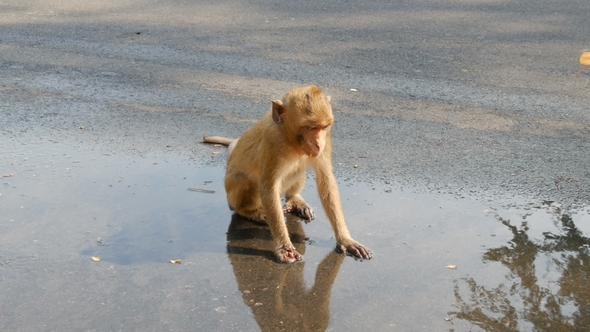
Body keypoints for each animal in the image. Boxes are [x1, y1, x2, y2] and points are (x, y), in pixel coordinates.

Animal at [204, 84, 370, 264]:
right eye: (310, 127)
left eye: (324, 127)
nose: (319, 144)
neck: (290, 138)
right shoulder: (273, 142)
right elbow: (268, 186)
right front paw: (284, 247)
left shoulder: (327, 141)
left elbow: (325, 180)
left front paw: (345, 239)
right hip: (233, 195)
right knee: (248, 184)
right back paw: (250, 211)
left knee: (298, 170)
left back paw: (294, 200)